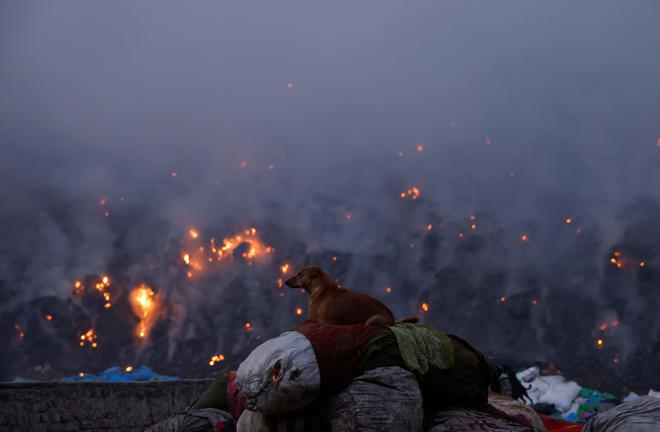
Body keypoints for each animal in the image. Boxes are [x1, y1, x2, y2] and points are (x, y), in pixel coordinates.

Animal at [288, 264, 416, 326]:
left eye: (299, 274)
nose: (285, 282)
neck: (321, 286)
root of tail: (393, 320)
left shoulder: (312, 320)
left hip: (373, 320)